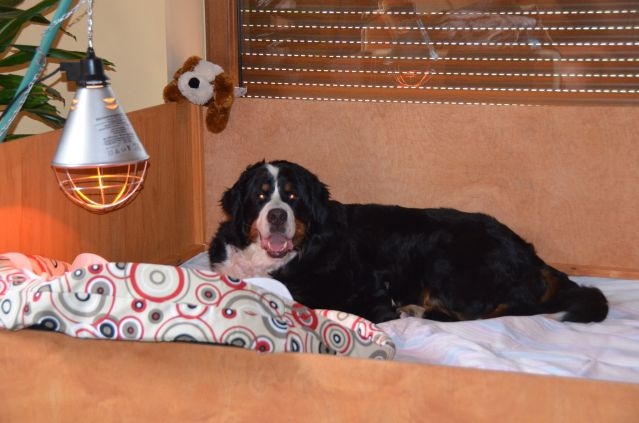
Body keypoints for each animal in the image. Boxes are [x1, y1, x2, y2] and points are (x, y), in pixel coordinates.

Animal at [209, 160, 608, 324]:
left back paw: (418, 311)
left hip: (445, 259)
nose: (277, 215)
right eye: (261, 196)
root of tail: (528, 253)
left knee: (484, 311)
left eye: (292, 197)